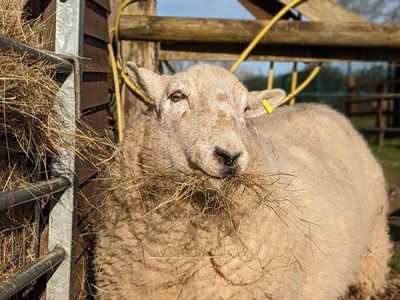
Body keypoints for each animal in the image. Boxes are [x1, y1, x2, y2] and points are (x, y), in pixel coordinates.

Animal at [96, 62, 390, 298]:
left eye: (246, 108)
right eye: (176, 96)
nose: (229, 156)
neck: (175, 252)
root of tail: (324, 107)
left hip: (371, 257)